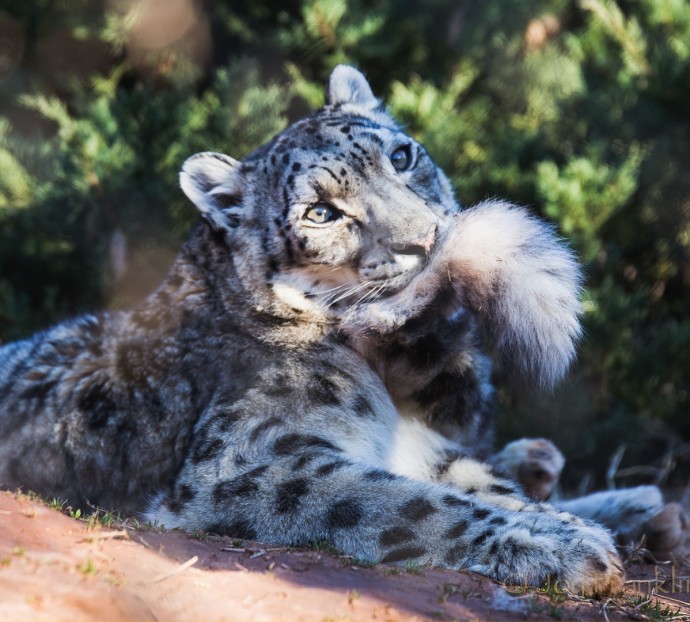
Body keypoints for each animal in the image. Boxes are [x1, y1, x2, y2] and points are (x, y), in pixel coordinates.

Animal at [0, 66, 680, 596]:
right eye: (321, 213)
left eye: (402, 155)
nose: (424, 239)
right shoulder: (246, 462)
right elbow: (401, 500)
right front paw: (558, 546)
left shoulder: (425, 442)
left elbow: (479, 484)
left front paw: (559, 522)